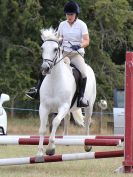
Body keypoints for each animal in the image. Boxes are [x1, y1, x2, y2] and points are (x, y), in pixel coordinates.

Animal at [37, 28, 96, 156]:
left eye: (55, 49)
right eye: (42, 48)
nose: (45, 68)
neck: (54, 81)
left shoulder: (63, 106)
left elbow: (55, 121)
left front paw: (51, 149)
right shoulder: (44, 107)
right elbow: (43, 128)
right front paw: (39, 152)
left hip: (89, 106)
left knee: (87, 122)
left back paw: (87, 145)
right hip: (68, 109)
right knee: (67, 119)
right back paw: (66, 139)